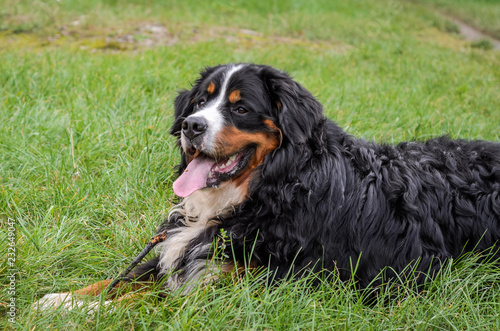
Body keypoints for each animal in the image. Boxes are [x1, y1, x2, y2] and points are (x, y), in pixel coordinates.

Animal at [36, 63, 500, 312]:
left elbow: (149, 299)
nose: (191, 126)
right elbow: (126, 277)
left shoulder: (246, 282)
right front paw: (64, 299)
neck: (273, 189)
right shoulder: (187, 247)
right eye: (200, 102)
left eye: (240, 108)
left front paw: (88, 312)